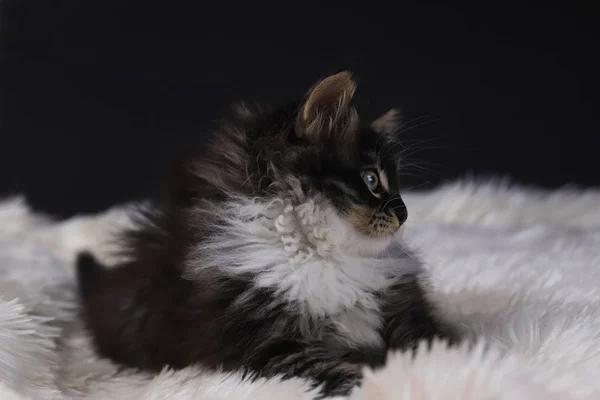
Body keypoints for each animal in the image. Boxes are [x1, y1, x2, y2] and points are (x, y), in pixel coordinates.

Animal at [77, 72, 458, 396]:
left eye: (395, 182)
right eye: (371, 179)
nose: (404, 214)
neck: (321, 252)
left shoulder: (398, 302)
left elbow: (422, 339)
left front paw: (440, 361)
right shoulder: (268, 344)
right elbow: (343, 373)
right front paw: (393, 380)